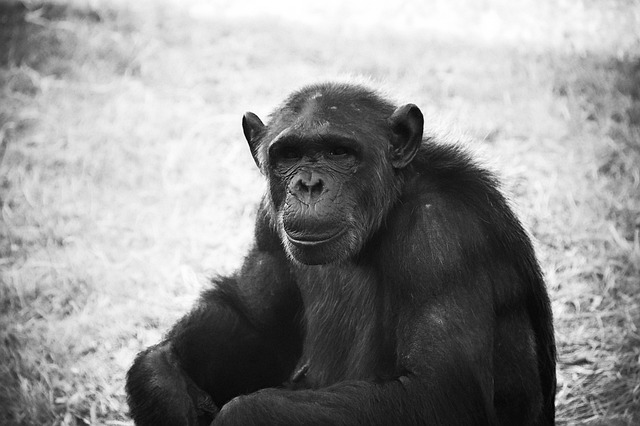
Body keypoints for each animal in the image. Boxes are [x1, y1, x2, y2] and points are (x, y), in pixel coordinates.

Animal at [124, 81, 556, 424]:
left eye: (338, 152)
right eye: (289, 155)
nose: (308, 184)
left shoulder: (443, 237)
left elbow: (439, 391)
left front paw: (240, 416)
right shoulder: (268, 223)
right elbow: (256, 322)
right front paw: (160, 379)